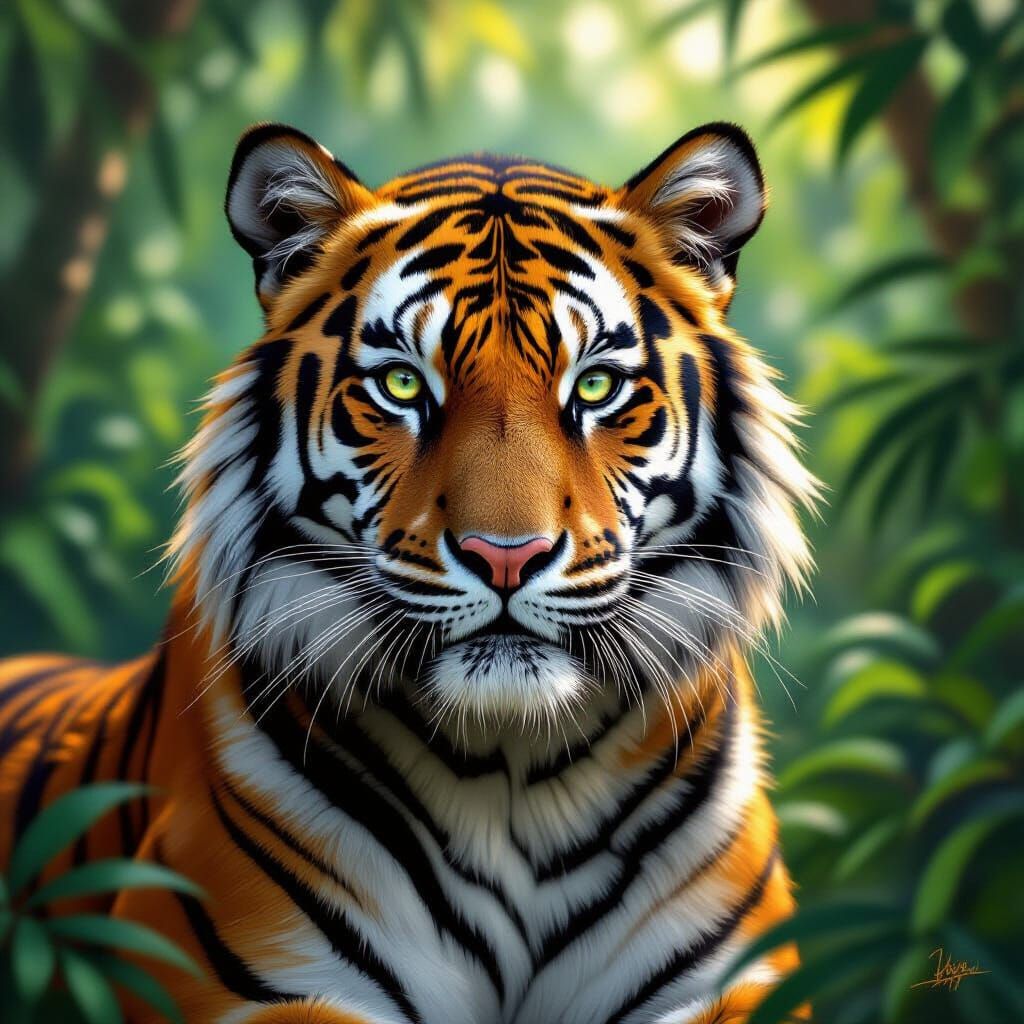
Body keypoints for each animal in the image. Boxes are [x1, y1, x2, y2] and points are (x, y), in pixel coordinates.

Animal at [0, 120, 818, 1024]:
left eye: (598, 385)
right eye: (401, 384)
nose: (507, 556)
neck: (514, 775)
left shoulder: (743, 980)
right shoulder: (225, 977)